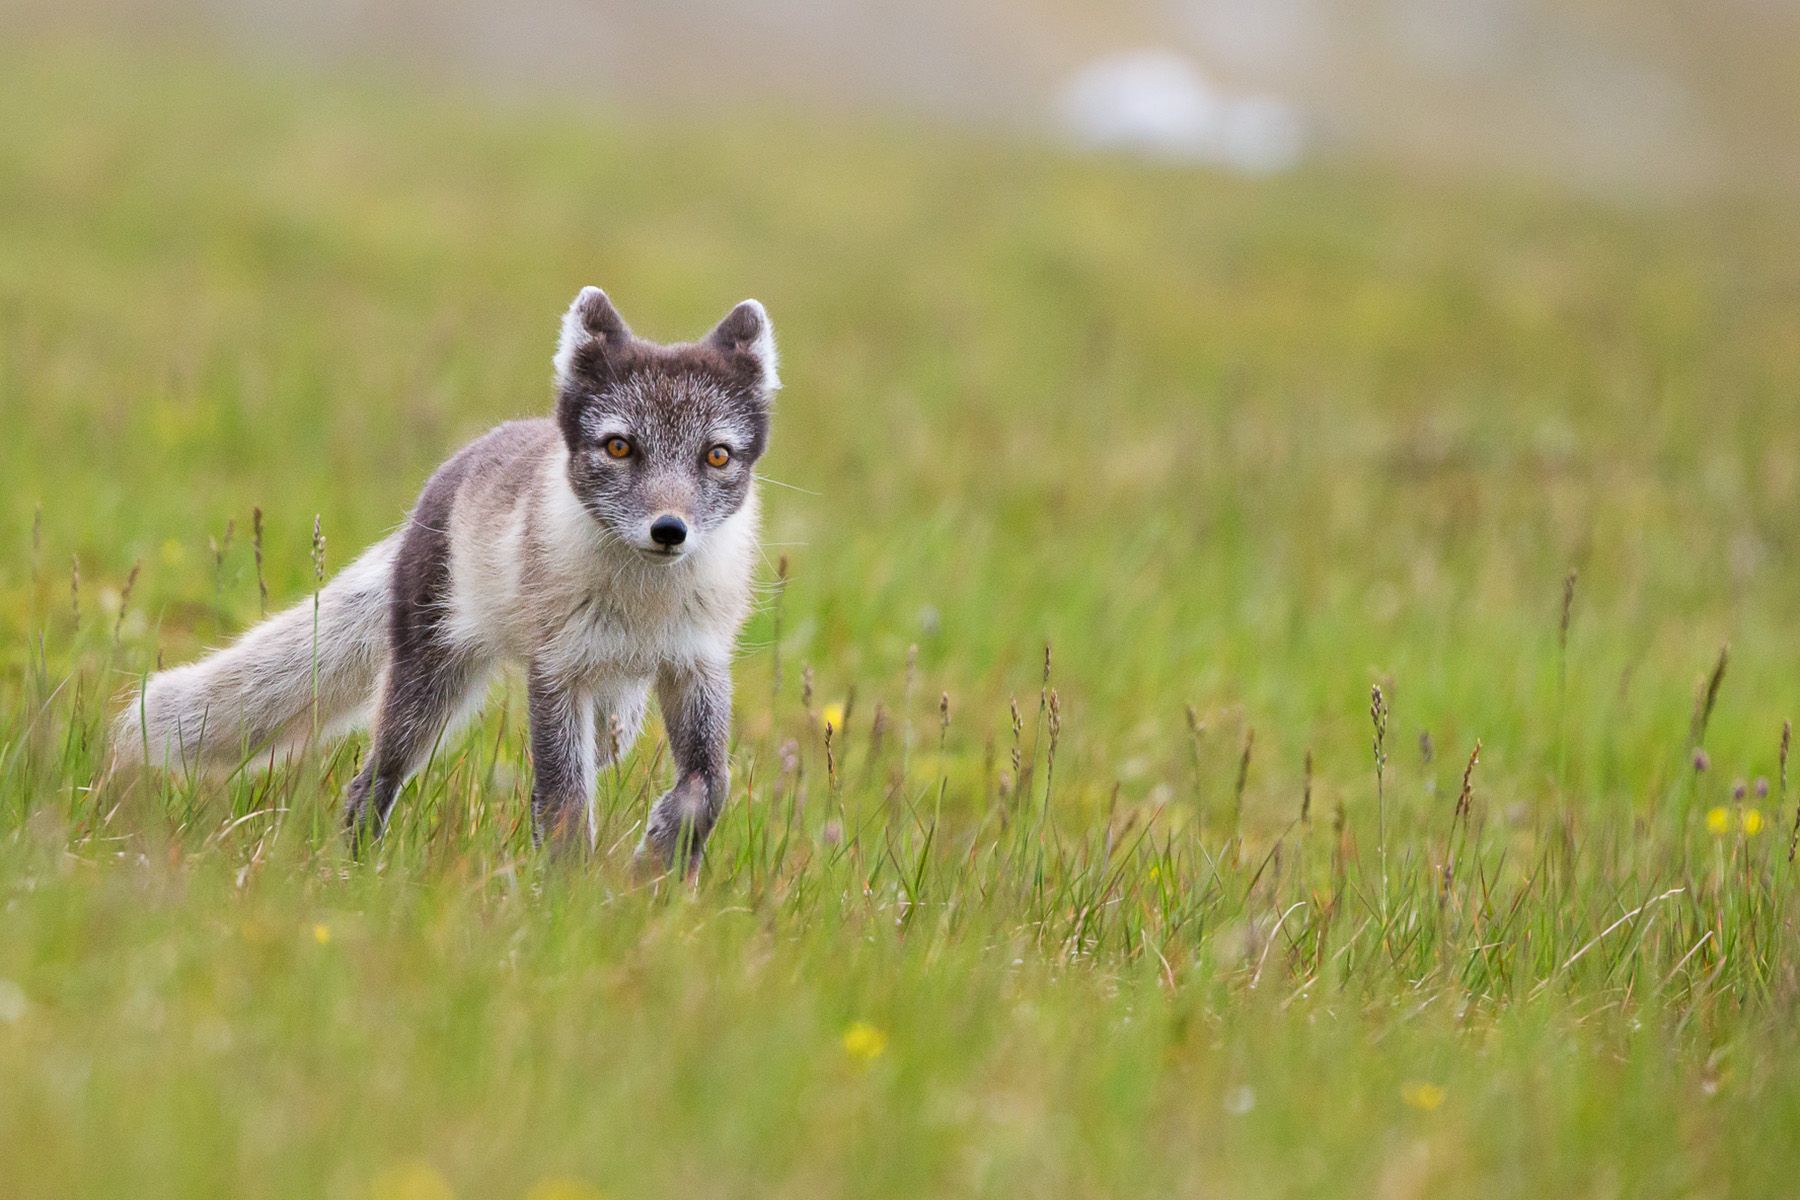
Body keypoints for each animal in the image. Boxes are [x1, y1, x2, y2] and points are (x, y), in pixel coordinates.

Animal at [112, 291, 774, 874]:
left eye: (716, 455)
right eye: (619, 447)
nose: (670, 530)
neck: (645, 607)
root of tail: (456, 465)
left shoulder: (697, 665)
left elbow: (708, 788)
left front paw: (660, 862)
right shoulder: (555, 673)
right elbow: (566, 804)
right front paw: (571, 897)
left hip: (611, 713)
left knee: (588, 756)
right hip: (428, 686)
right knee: (371, 782)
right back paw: (358, 874)